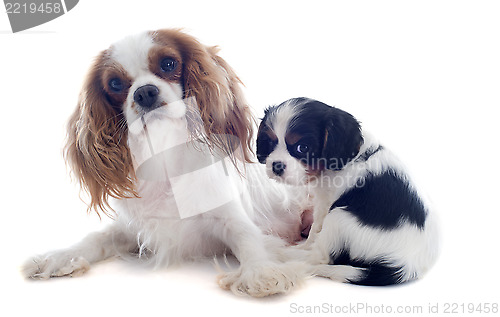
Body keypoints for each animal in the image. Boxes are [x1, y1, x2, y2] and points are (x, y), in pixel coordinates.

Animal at [256, 97, 440, 286]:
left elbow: (315, 229)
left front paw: (305, 244)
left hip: (339, 217)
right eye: (270, 142)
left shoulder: (325, 203)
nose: (276, 166)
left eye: (303, 148)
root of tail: (405, 268)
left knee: (320, 256)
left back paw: (286, 252)